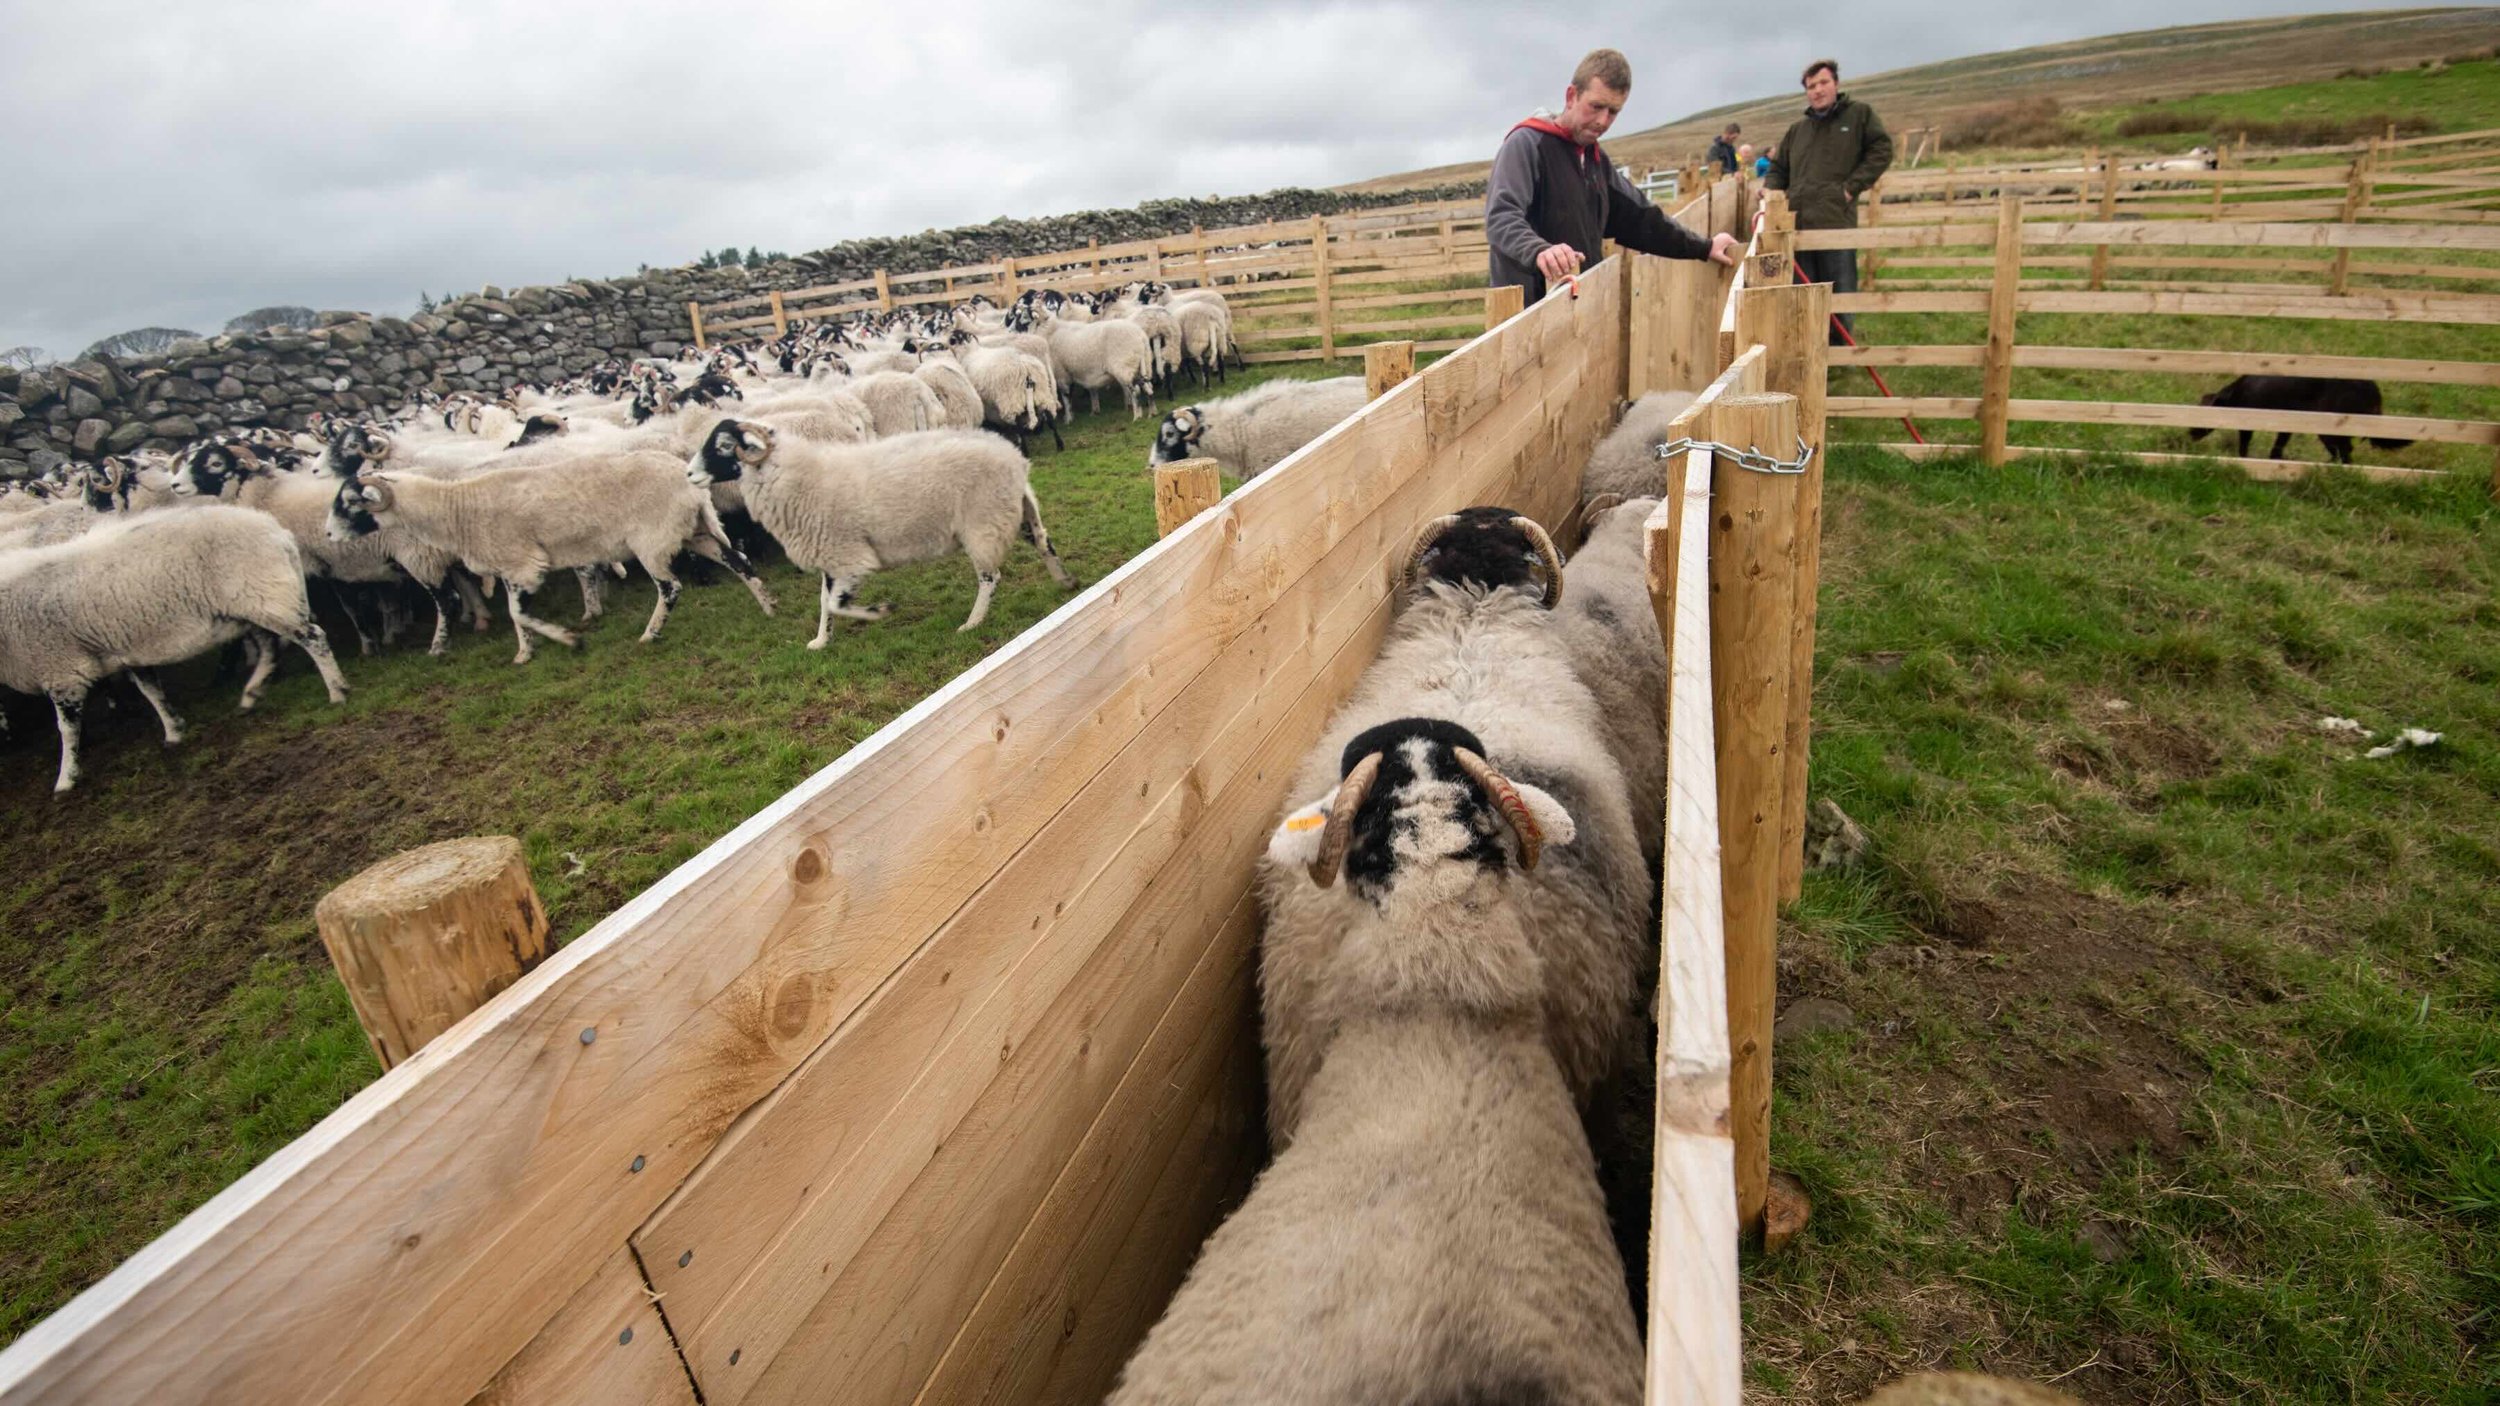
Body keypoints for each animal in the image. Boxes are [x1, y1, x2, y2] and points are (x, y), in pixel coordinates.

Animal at [0, 500, 352, 790]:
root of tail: (278, 531)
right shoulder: (127, 652)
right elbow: (152, 691)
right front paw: (174, 730)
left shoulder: (63, 671)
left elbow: (67, 729)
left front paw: (66, 778)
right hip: (249, 608)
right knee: (269, 648)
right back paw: (251, 695)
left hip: (267, 598)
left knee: (314, 639)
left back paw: (337, 691)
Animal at [342, 447, 770, 665]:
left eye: (351, 503)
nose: (331, 535)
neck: (459, 507)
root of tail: (687, 479)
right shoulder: (511, 565)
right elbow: (517, 613)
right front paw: (525, 651)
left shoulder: (523, 562)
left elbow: (517, 612)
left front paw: (568, 639)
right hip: (693, 530)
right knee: (738, 561)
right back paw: (767, 605)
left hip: (653, 539)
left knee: (671, 588)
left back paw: (650, 633)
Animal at [690, 415, 1070, 635]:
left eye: (724, 446)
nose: (689, 473)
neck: (800, 476)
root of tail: (1014, 458)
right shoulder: (832, 556)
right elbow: (825, 603)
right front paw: (820, 641)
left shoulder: (850, 557)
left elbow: (836, 604)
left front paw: (880, 611)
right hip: (1017, 510)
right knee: (1044, 542)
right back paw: (1065, 581)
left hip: (984, 522)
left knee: (990, 577)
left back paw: (972, 622)